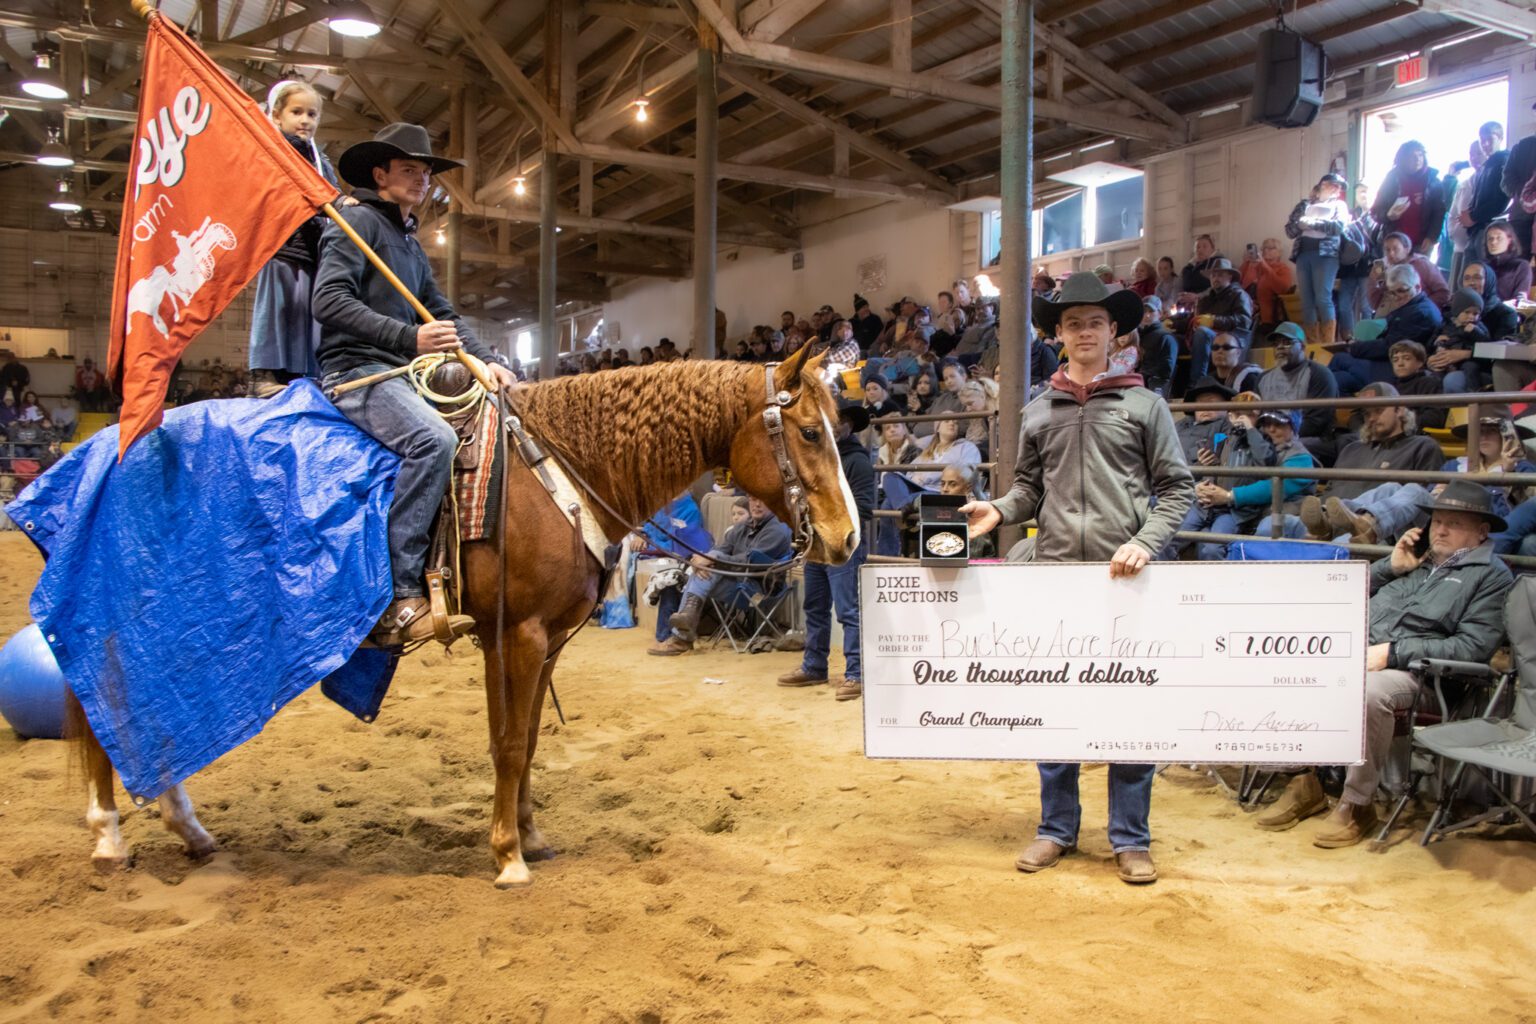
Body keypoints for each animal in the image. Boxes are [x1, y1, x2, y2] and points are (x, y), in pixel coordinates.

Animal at [66, 343, 860, 890]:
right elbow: (508, 745)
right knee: (110, 714)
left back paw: (186, 829)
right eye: (809, 432)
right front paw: (508, 856)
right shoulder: (518, 634)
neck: (552, 470)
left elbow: (526, 740)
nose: (848, 539)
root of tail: (104, 443)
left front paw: (530, 837)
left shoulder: (536, 641)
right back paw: (108, 837)